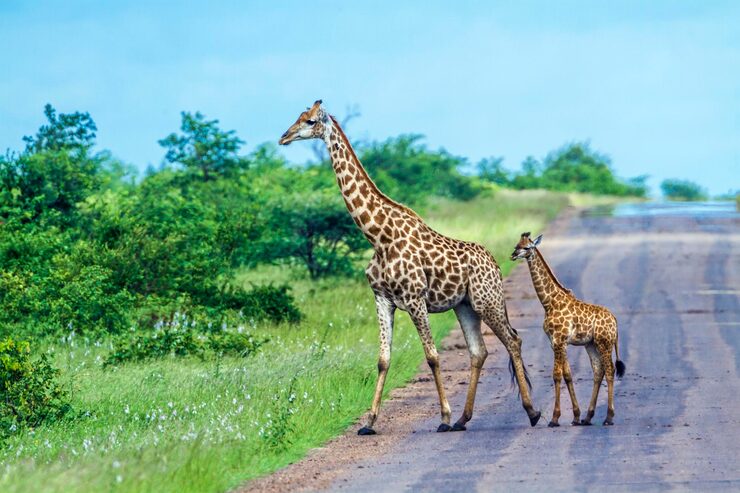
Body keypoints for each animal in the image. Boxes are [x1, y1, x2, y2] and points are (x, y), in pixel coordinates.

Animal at [279, 100, 541, 434]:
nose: (284, 137)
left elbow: (432, 356)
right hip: (465, 305)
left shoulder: (415, 299)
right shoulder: (381, 299)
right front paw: (369, 423)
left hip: (488, 301)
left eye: (310, 121)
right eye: (297, 118)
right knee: (479, 351)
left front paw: (443, 417)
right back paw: (464, 419)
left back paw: (531, 412)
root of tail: (495, 263)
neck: (379, 237)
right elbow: (383, 358)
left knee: (513, 340)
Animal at [510, 232, 626, 426]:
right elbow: (567, 374)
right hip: (591, 345)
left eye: (526, 247)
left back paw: (609, 417)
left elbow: (556, 375)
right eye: (516, 244)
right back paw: (588, 417)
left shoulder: (558, 340)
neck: (549, 302)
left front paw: (554, 418)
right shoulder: (557, 342)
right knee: (598, 371)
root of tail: (615, 321)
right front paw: (576, 416)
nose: (513, 255)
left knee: (610, 370)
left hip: (604, 343)